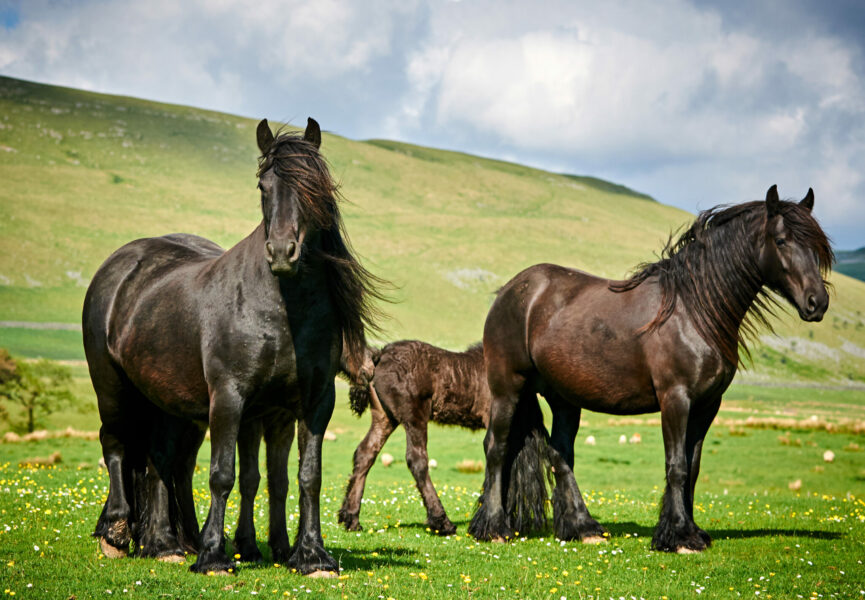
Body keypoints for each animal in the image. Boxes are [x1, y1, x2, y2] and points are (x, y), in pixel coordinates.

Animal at [83, 117, 385, 575]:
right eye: (263, 185)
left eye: (314, 185)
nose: (282, 252)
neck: (279, 309)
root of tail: (119, 265)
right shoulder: (230, 398)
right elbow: (223, 475)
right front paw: (213, 556)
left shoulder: (310, 403)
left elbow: (303, 476)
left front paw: (310, 555)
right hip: (113, 388)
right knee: (116, 445)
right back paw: (117, 534)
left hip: (168, 404)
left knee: (160, 459)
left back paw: (164, 543)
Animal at [335, 340, 498, 536]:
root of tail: (380, 355)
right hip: (414, 416)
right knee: (417, 460)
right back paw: (442, 522)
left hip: (384, 417)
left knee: (365, 453)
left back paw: (351, 519)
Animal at [468, 186, 833, 553]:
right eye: (781, 240)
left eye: (817, 246)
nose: (817, 303)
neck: (692, 310)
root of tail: (510, 291)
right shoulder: (675, 399)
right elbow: (677, 466)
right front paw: (678, 536)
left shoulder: (706, 406)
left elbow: (693, 467)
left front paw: (692, 531)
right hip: (507, 388)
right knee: (497, 447)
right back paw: (494, 527)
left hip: (564, 399)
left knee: (560, 454)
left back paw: (582, 527)